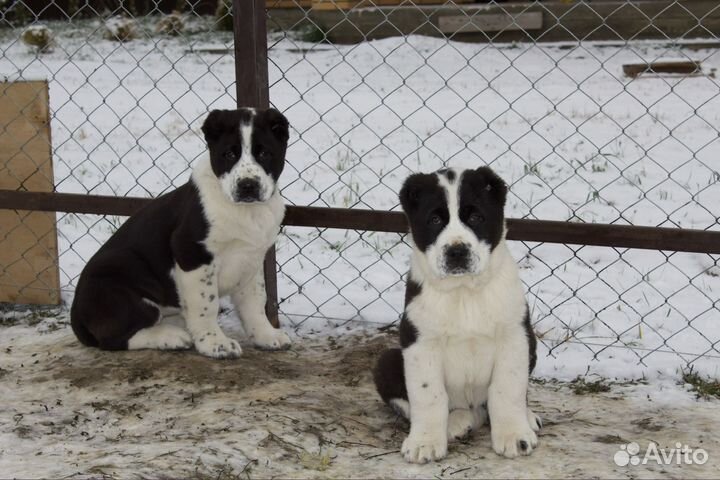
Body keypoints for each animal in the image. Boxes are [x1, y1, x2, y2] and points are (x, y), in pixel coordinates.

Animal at [69, 107, 290, 358]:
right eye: (228, 155)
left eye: (264, 153)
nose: (247, 185)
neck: (247, 211)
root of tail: (76, 315)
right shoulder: (192, 253)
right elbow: (206, 304)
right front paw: (214, 342)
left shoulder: (251, 258)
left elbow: (255, 303)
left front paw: (266, 335)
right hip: (120, 279)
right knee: (115, 338)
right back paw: (171, 337)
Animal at [376, 167, 540, 464]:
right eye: (434, 219)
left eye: (475, 217)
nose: (457, 251)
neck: (464, 293)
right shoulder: (420, 342)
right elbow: (429, 395)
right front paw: (424, 442)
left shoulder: (515, 336)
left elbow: (507, 389)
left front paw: (514, 435)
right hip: (386, 361)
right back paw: (457, 422)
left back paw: (525, 417)